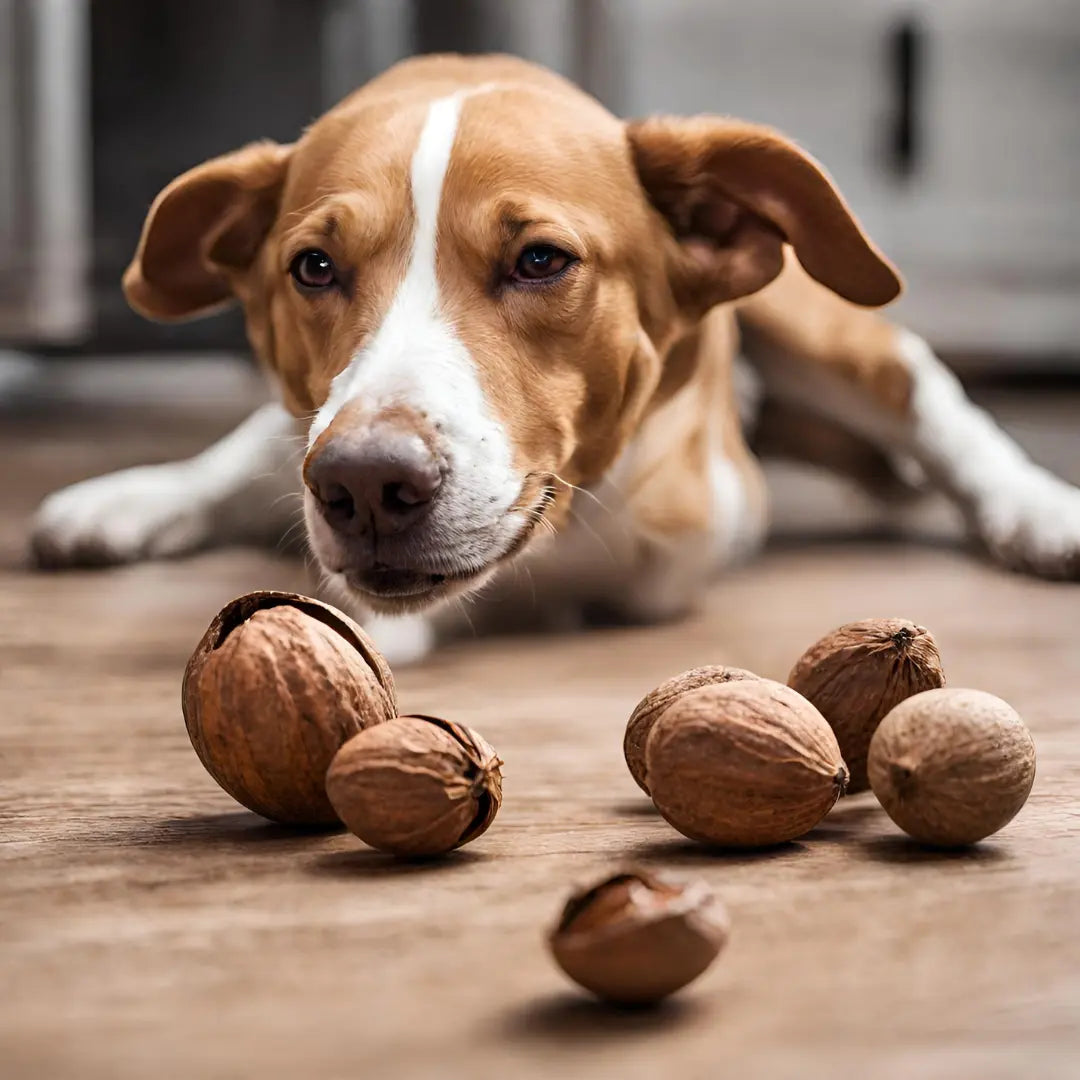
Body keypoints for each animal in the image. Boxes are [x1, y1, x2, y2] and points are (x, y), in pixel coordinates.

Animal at [31, 56, 1080, 665]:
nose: (363, 485)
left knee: (929, 400)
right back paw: (125, 504)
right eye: (313, 267)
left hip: (824, 325)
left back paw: (1036, 510)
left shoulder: (687, 521)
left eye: (540, 261)